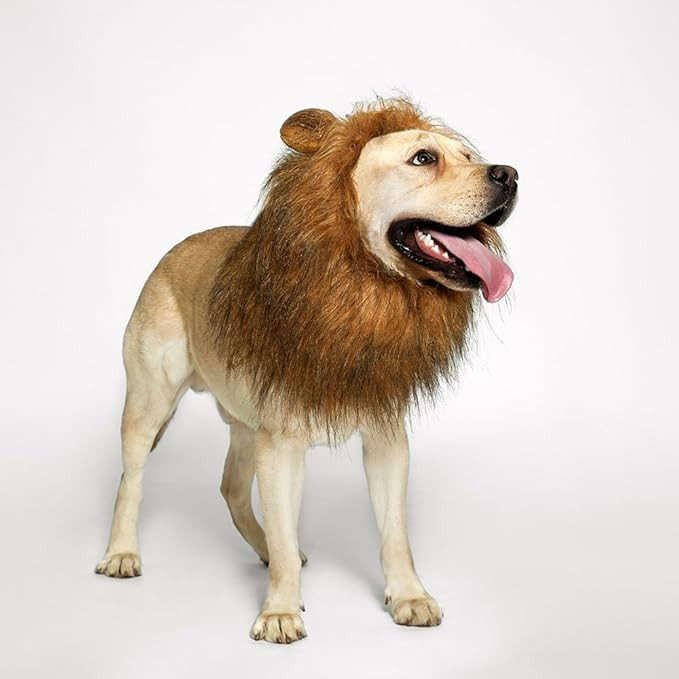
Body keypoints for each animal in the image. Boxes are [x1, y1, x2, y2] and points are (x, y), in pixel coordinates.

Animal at [95, 98, 518, 644]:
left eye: (469, 155)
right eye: (424, 158)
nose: (509, 174)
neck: (359, 291)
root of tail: (175, 249)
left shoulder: (385, 438)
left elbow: (394, 532)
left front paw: (409, 597)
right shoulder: (281, 447)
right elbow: (282, 526)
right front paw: (279, 611)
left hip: (244, 426)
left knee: (232, 490)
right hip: (150, 404)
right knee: (131, 480)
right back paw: (121, 553)